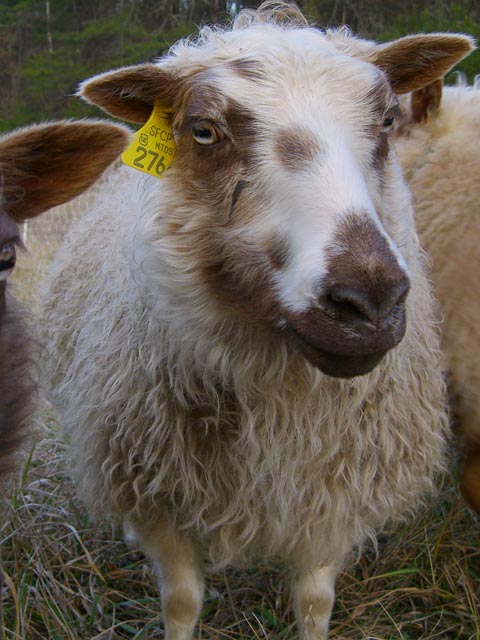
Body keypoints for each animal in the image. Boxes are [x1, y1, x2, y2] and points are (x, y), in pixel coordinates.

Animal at [39, 6, 474, 640]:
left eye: (388, 119)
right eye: (203, 131)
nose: (369, 302)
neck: (276, 404)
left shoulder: (333, 495)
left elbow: (314, 602)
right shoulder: (157, 496)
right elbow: (182, 601)